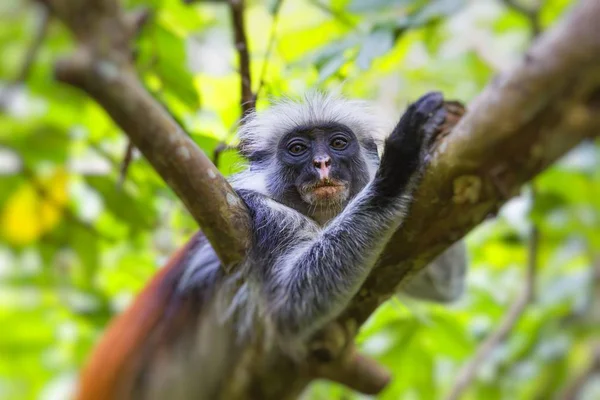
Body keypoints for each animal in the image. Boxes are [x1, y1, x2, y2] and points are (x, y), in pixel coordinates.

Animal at [76, 91, 468, 400]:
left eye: (338, 143)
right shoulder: (259, 212)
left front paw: (445, 126)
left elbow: (444, 287)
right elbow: (289, 311)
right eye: (298, 149)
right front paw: (398, 165)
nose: (322, 163)